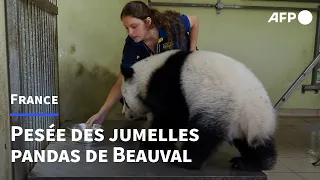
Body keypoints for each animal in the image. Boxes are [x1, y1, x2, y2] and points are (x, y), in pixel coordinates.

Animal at [120, 49, 278, 172]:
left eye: (125, 101)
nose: (126, 114)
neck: (148, 74)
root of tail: (251, 109)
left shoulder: (169, 85)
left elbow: (172, 117)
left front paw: (149, 143)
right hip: (255, 123)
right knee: (256, 144)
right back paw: (254, 163)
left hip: (217, 106)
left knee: (202, 136)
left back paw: (184, 160)